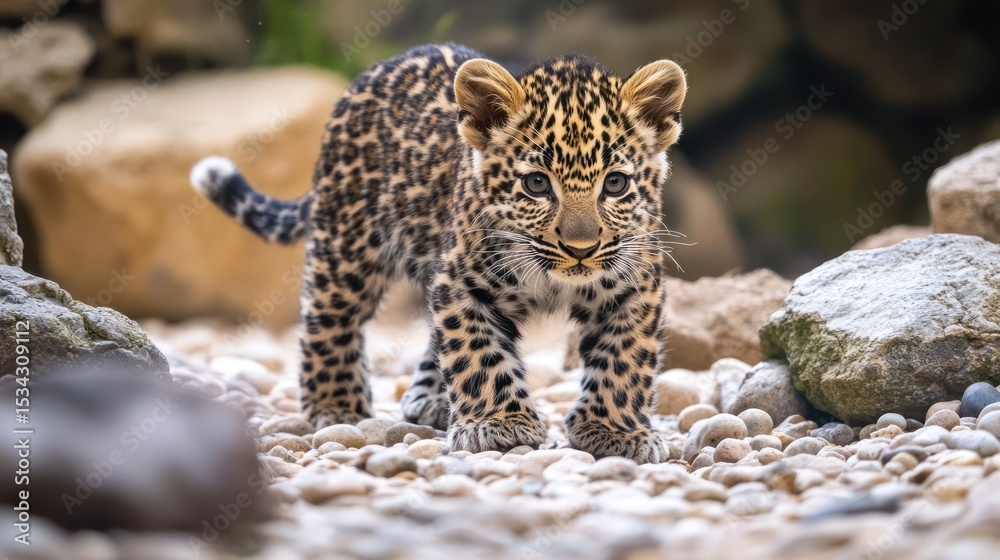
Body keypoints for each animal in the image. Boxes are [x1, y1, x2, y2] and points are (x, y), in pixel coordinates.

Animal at [190, 43, 686, 463]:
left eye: (616, 183)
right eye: (536, 184)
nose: (580, 249)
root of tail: (375, 70)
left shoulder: (635, 288)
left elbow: (622, 361)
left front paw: (615, 432)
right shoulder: (462, 282)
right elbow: (478, 353)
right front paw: (500, 424)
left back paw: (428, 398)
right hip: (347, 241)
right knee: (330, 317)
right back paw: (336, 404)